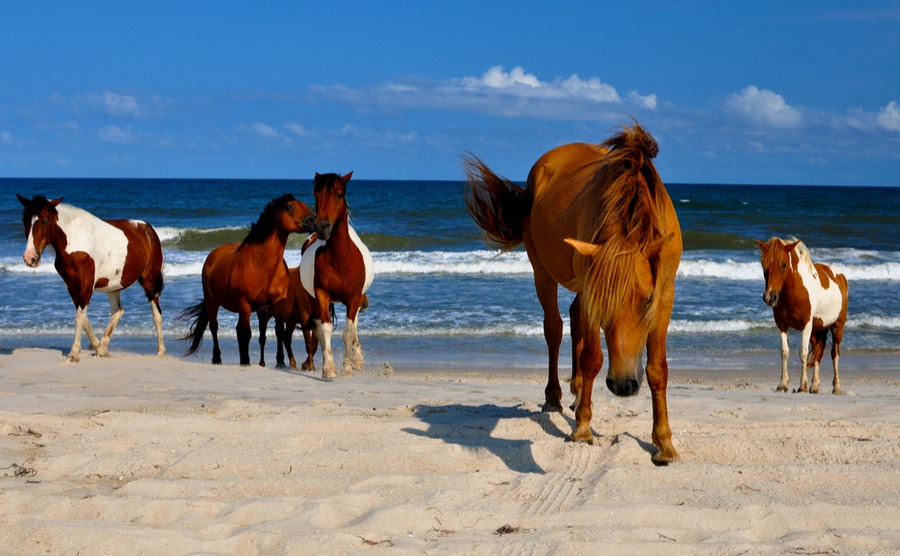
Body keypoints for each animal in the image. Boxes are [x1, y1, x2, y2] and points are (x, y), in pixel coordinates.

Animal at [15, 194, 167, 360]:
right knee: (118, 310)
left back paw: (161, 351)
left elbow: (80, 317)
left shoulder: (87, 283)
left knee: (156, 315)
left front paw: (74, 353)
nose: (30, 258)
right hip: (112, 285)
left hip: (149, 281)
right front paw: (97, 348)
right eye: (25, 220)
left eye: (45, 220)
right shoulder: (72, 286)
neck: (74, 241)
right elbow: (83, 317)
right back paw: (104, 347)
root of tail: (149, 229)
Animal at [179, 193, 316, 368]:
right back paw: (217, 358)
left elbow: (278, 331)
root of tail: (213, 255)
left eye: (304, 204)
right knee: (214, 326)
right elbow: (247, 333)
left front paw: (280, 361)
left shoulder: (275, 303)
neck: (262, 264)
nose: (313, 220)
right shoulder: (245, 304)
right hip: (213, 301)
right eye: (289, 206)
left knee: (237, 329)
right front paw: (246, 361)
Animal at [300, 172, 374, 380]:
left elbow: (348, 331)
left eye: (340, 195)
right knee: (318, 326)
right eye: (316, 195)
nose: (322, 227)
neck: (341, 259)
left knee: (354, 324)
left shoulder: (355, 296)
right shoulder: (321, 294)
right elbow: (325, 328)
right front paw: (329, 369)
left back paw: (357, 360)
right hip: (313, 299)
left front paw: (347, 367)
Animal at [464, 122, 684, 464]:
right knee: (554, 329)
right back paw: (554, 396)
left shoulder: (665, 295)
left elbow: (657, 369)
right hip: (543, 272)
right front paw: (582, 428)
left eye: (647, 300)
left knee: (575, 317)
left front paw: (664, 444)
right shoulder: (590, 289)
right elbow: (591, 357)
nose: (622, 385)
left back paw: (579, 391)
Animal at [756, 237, 848, 394]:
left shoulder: (806, 325)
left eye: (783, 264)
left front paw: (802, 385)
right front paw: (783, 384)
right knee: (818, 353)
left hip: (837, 327)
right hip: (817, 330)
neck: (795, 291)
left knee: (834, 354)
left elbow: (803, 352)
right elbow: (784, 352)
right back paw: (815, 386)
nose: (769, 297)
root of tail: (841, 276)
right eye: (764, 264)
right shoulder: (782, 325)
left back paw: (836, 386)